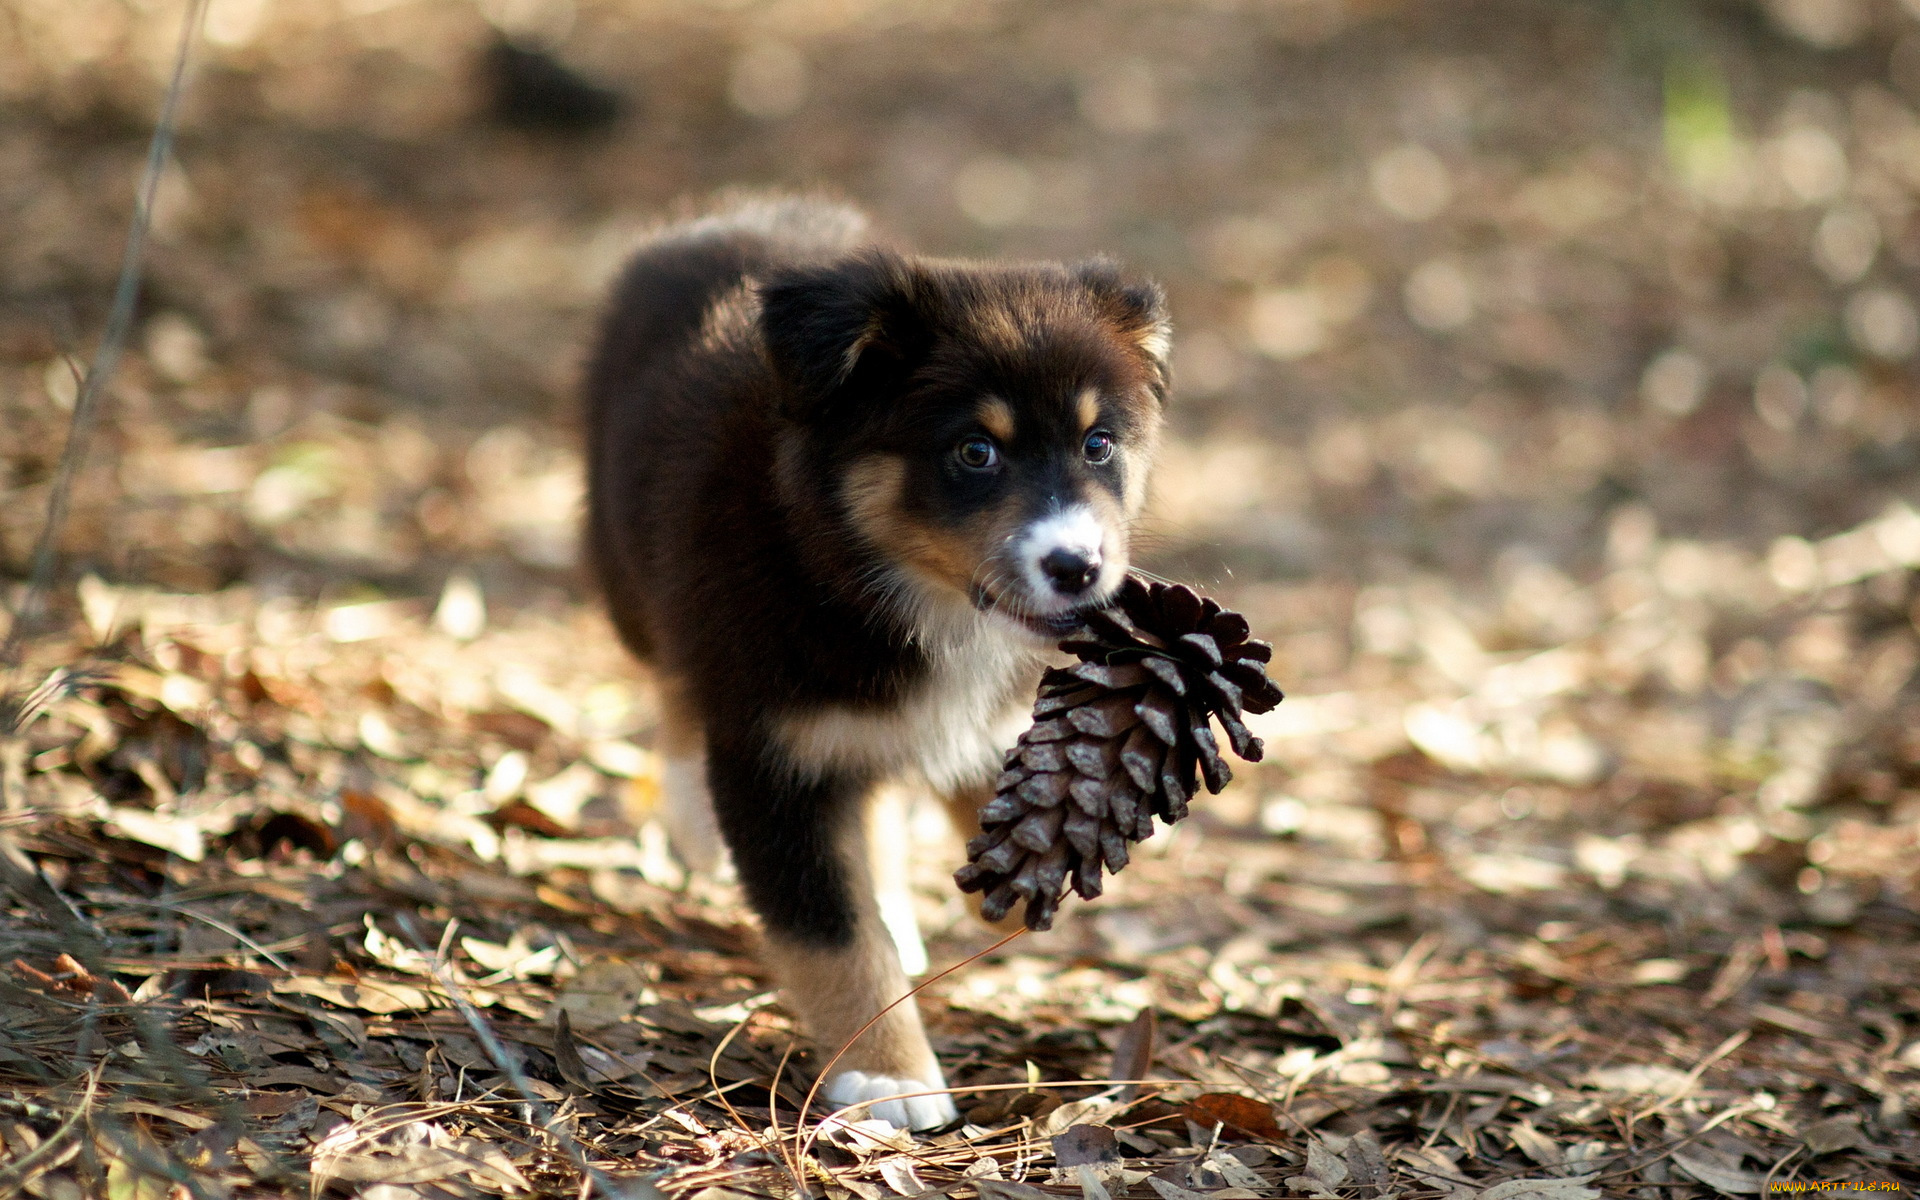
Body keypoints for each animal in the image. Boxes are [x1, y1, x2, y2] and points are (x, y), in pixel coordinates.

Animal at [579, 193, 1167, 1121]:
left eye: (1098, 443)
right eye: (975, 451)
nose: (1077, 566)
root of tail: (721, 215)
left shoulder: (985, 718)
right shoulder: (773, 750)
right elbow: (830, 933)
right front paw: (887, 1073)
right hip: (630, 574)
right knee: (672, 678)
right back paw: (694, 817)